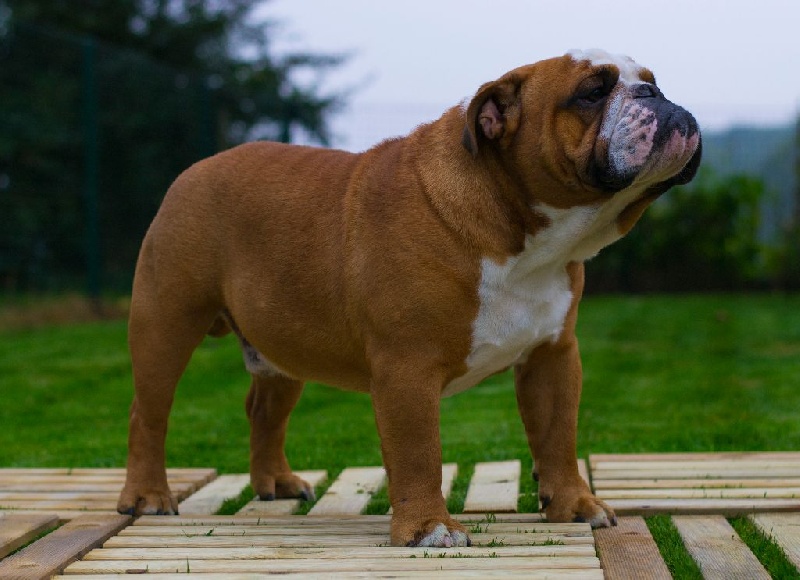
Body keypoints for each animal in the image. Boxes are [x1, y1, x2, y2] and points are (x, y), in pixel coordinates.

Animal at [117, 49, 701, 547]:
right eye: (592, 92)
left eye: (651, 81)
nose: (656, 96)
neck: (527, 235)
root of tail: (195, 169)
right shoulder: (408, 367)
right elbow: (420, 451)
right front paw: (428, 529)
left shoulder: (553, 356)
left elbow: (558, 436)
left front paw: (575, 506)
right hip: (166, 322)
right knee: (149, 411)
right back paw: (147, 497)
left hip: (284, 344)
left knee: (264, 409)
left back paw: (275, 483)